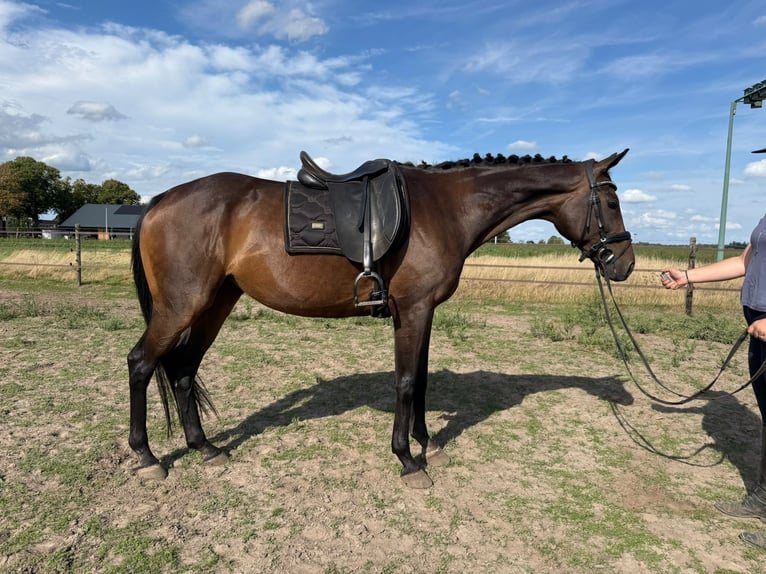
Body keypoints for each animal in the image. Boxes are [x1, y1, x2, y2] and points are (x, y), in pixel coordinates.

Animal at [127, 150, 635, 488]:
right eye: (611, 203)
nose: (625, 265)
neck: (446, 208)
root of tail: (162, 199)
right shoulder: (414, 309)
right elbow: (407, 382)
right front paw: (407, 460)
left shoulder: (421, 312)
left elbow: (422, 380)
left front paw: (428, 445)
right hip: (182, 306)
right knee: (141, 364)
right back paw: (148, 457)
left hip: (215, 303)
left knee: (184, 369)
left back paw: (206, 448)